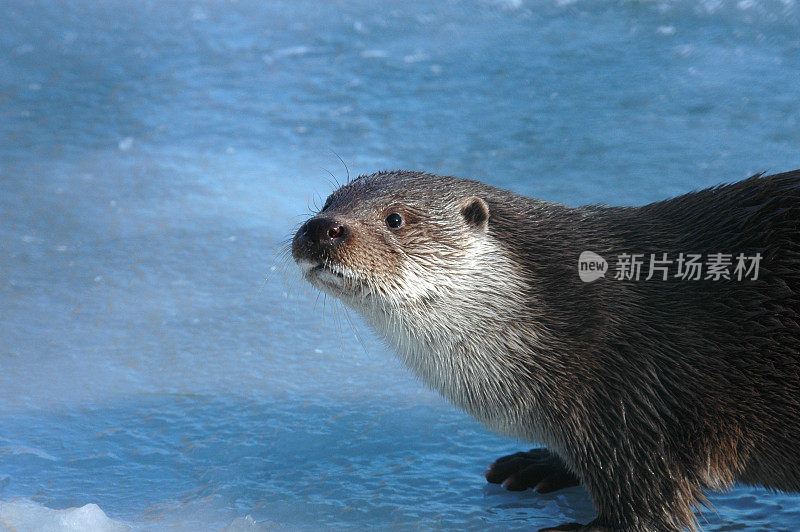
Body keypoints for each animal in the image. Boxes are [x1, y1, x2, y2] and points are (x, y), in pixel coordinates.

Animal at [290, 168, 800, 528]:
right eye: (327, 201)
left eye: (394, 218)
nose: (323, 227)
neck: (571, 314)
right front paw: (542, 464)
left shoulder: (636, 404)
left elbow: (649, 512)